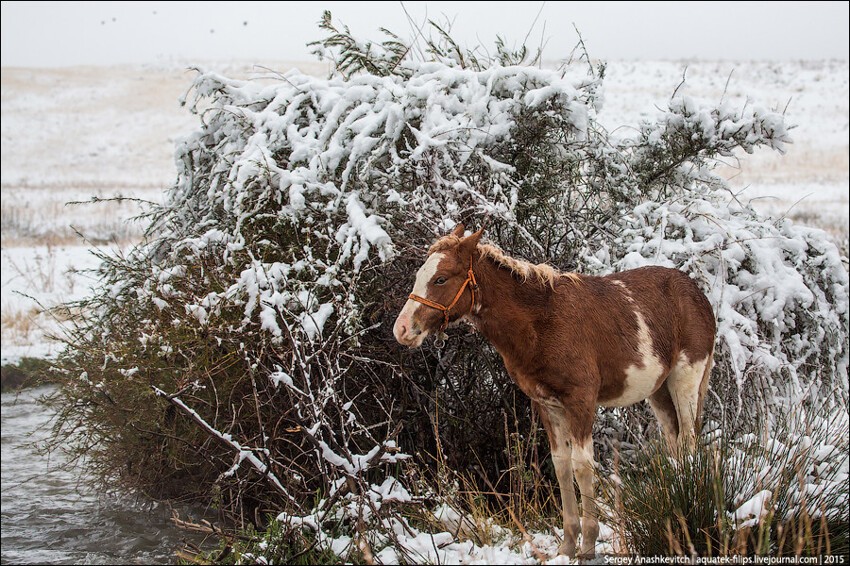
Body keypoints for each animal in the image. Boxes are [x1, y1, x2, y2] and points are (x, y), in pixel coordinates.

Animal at [394, 226, 712, 560]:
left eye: (441, 279)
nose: (401, 329)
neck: (540, 322)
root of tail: (696, 292)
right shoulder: (548, 405)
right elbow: (561, 465)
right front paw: (568, 544)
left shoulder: (581, 401)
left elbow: (582, 466)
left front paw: (588, 545)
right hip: (659, 391)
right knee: (674, 442)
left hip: (685, 379)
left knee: (689, 439)